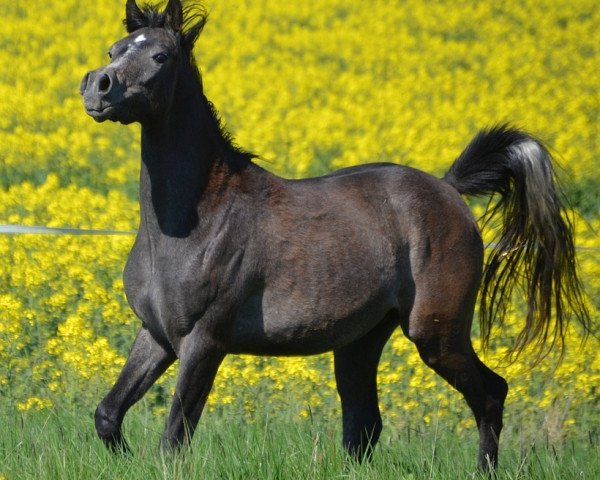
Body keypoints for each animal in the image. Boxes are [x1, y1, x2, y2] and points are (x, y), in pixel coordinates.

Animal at [79, 0, 592, 472]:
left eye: (160, 56)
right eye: (114, 50)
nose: (97, 86)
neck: (198, 218)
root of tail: (448, 189)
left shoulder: (204, 342)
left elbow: (173, 440)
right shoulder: (157, 336)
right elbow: (108, 414)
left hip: (436, 334)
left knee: (490, 394)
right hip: (361, 341)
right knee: (365, 425)